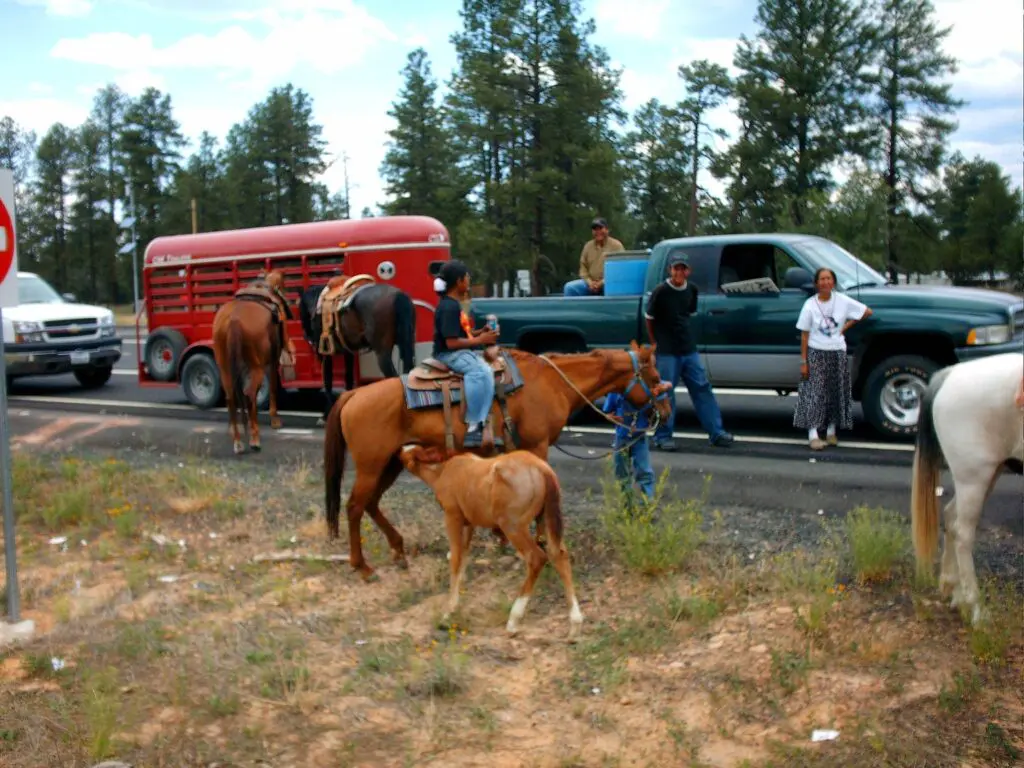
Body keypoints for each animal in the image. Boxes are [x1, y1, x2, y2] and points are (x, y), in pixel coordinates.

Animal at [211, 270, 296, 454]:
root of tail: (233, 320)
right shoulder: (272, 361)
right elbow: (271, 388)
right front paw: (274, 419)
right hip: (256, 366)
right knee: (249, 393)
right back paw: (254, 438)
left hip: (225, 367)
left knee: (231, 396)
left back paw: (237, 440)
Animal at [321, 339, 671, 581]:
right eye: (654, 377)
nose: (666, 413)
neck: (551, 383)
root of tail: (354, 393)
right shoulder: (537, 446)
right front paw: (538, 541)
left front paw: (502, 537)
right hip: (371, 464)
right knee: (355, 506)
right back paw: (363, 567)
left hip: (389, 463)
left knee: (371, 503)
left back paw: (397, 549)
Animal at [395, 444, 581, 643]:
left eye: (409, 453)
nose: (400, 450)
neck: (444, 469)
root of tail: (543, 469)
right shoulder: (469, 524)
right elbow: (463, 558)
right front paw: (455, 606)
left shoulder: (453, 517)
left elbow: (455, 558)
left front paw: (447, 614)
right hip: (544, 520)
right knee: (559, 555)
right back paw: (575, 625)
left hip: (512, 526)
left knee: (537, 557)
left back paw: (513, 621)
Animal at [913, 354, 1024, 626]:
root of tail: (950, 374)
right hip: (974, 477)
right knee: (963, 533)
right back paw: (975, 609)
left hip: (986, 475)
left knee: (951, 517)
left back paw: (955, 592)